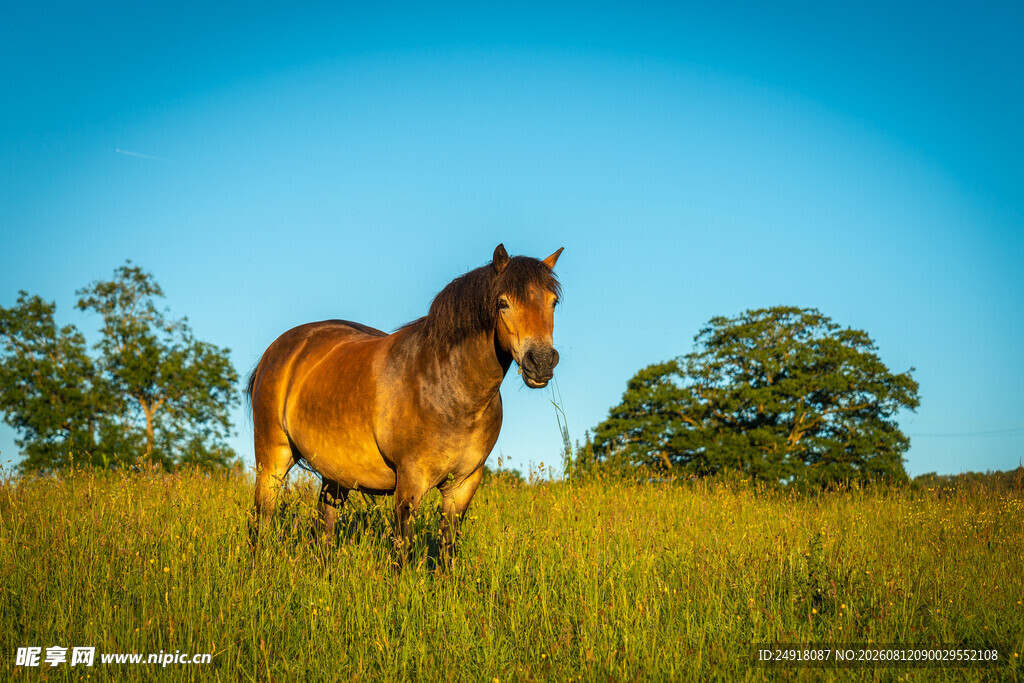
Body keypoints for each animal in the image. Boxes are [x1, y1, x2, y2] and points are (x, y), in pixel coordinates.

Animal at [245, 244, 563, 563]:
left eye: (554, 302)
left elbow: (447, 549)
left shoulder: (463, 485)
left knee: (325, 527)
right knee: (261, 518)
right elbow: (403, 550)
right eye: (503, 303)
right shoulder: (410, 481)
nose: (541, 362)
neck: (448, 387)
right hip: (273, 458)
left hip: (334, 474)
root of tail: (279, 349)